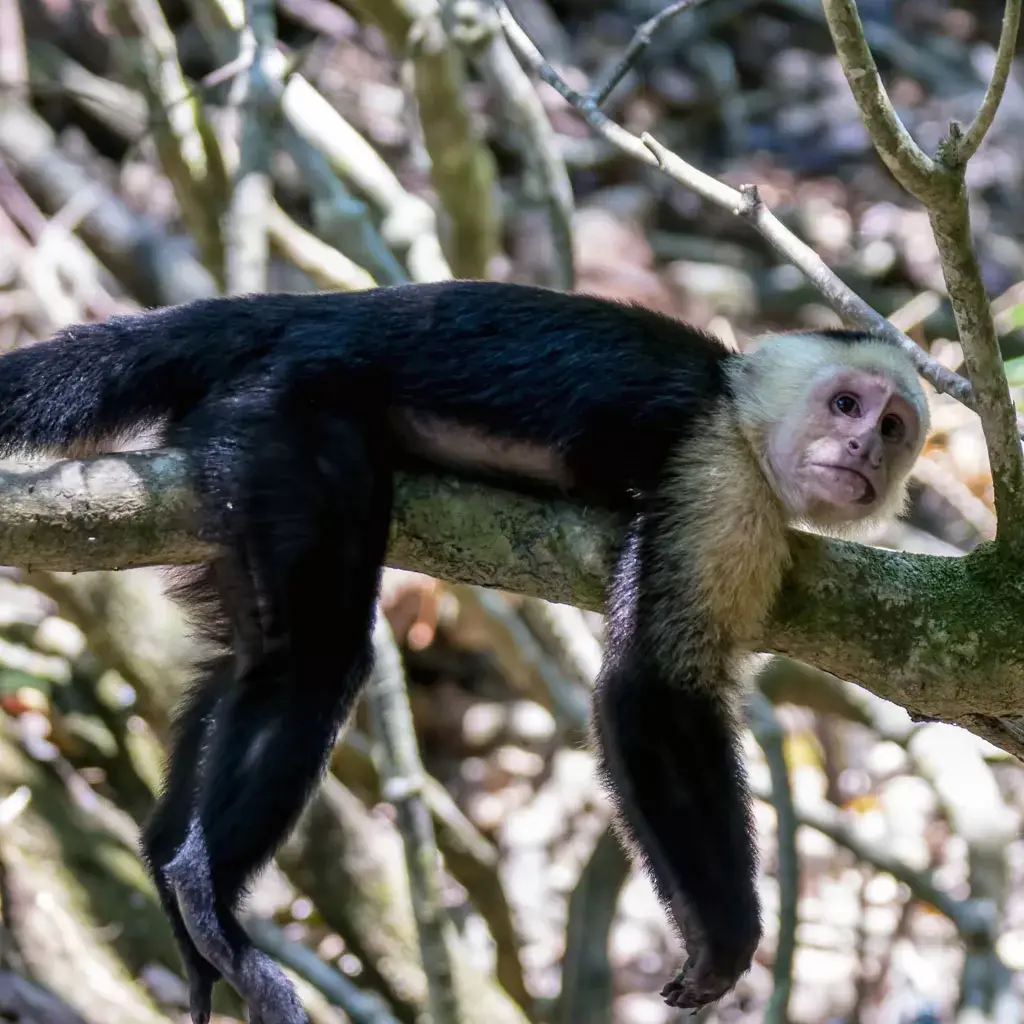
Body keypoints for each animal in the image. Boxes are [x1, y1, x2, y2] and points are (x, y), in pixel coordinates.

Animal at [0, 280, 929, 1022]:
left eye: (893, 427)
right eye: (847, 406)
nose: (863, 452)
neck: (735, 406)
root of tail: (306, 310)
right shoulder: (719, 472)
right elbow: (651, 691)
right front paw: (725, 938)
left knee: (247, 661)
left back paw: (172, 880)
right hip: (281, 411)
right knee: (315, 655)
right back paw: (207, 890)